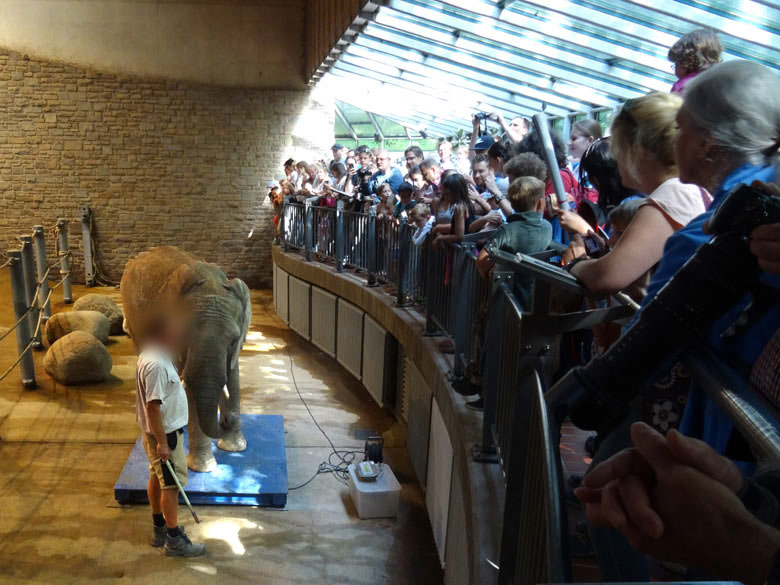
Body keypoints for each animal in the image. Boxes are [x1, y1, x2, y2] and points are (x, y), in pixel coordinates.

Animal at [120, 244, 251, 472]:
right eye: (184, 335)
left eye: (234, 340)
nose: (226, 420)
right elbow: (192, 387)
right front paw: (204, 468)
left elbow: (233, 375)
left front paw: (235, 448)